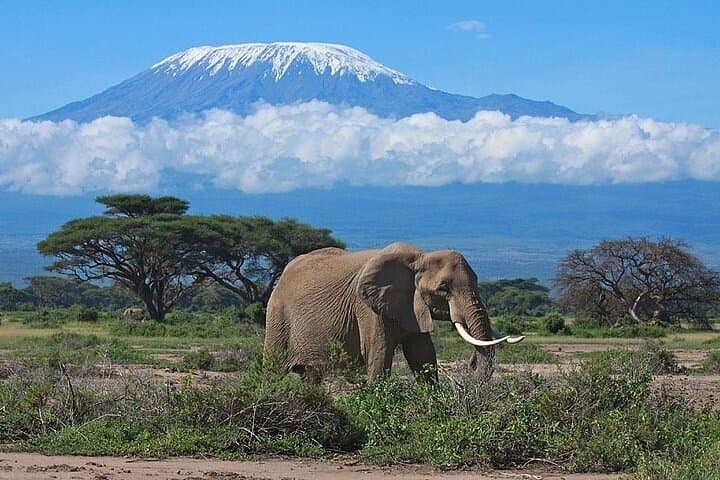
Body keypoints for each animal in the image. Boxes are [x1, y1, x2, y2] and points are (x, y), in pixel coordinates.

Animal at [264, 242, 524, 382]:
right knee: (273, 369)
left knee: (310, 377)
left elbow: (423, 356)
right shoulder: (367, 308)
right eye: (443, 288)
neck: (420, 257)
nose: (470, 363)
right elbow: (379, 356)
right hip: (277, 316)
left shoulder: (412, 306)